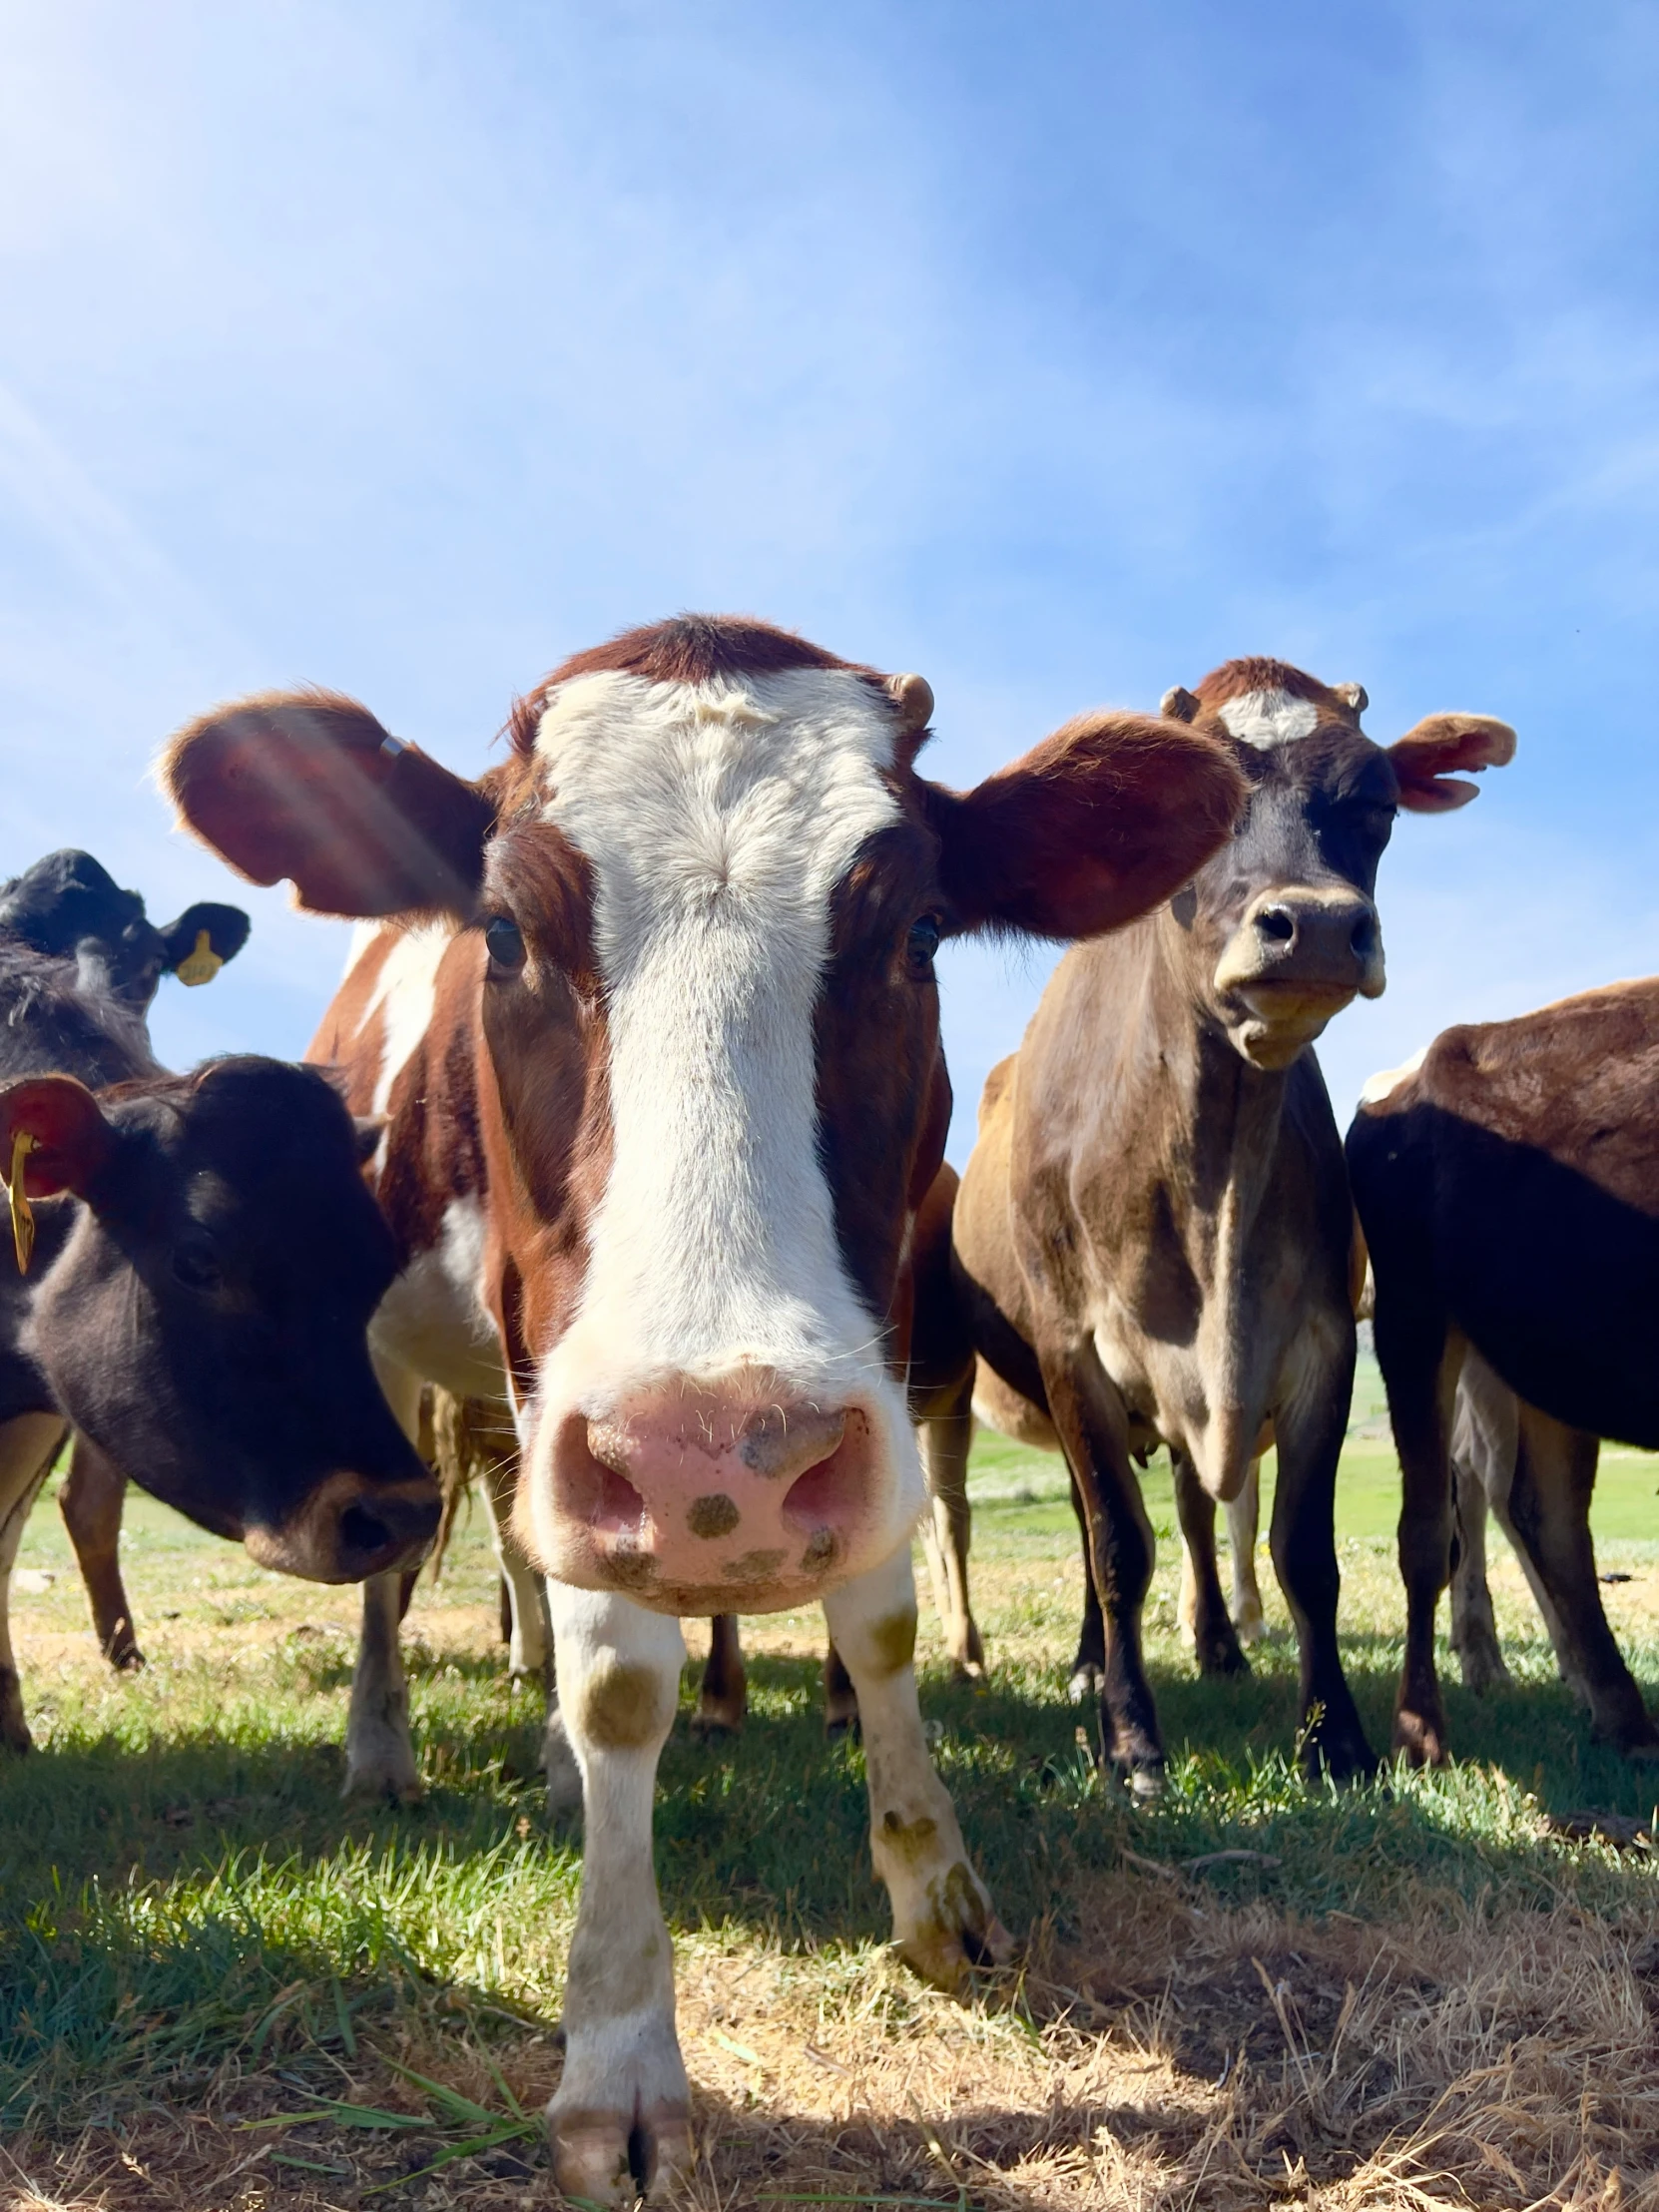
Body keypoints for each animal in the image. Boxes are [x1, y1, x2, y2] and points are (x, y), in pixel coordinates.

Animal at [162, 615, 1247, 2203]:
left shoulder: (876, 1346)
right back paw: (384, 1746)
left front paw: (935, 1888)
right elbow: (617, 1676)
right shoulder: (560, 1386)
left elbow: (879, 1619)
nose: (713, 1462)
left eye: (920, 932)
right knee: (400, 1563)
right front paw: (616, 2050)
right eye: (504, 932)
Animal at [946, 659, 1521, 1796]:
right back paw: (1095, 1663)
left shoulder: (1319, 1341)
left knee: (1198, 1508)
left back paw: (1215, 1640)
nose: (1318, 923)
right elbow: (1116, 1547)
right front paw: (1132, 1741)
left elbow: (1305, 1551)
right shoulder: (1072, 1350)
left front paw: (1335, 1738)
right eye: (1191, 811)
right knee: (1098, 1520)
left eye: (1376, 805)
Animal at [1354, 986, 1659, 1760]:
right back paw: (1421, 1729)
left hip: (1553, 1347)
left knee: (1540, 1511)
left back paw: (1618, 1713)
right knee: (1431, 1529)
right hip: (1416, 1318)